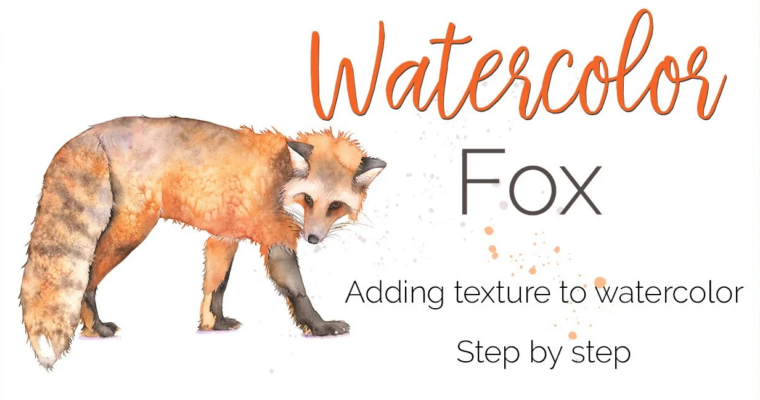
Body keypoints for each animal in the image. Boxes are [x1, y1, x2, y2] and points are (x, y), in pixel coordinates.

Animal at [19, 116, 386, 369]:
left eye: (335, 206)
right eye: (308, 200)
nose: (312, 238)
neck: (279, 178)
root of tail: (92, 131)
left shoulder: (224, 236)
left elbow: (216, 286)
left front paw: (213, 324)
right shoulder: (276, 237)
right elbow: (297, 291)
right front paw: (320, 327)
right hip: (132, 230)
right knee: (88, 277)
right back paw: (96, 327)